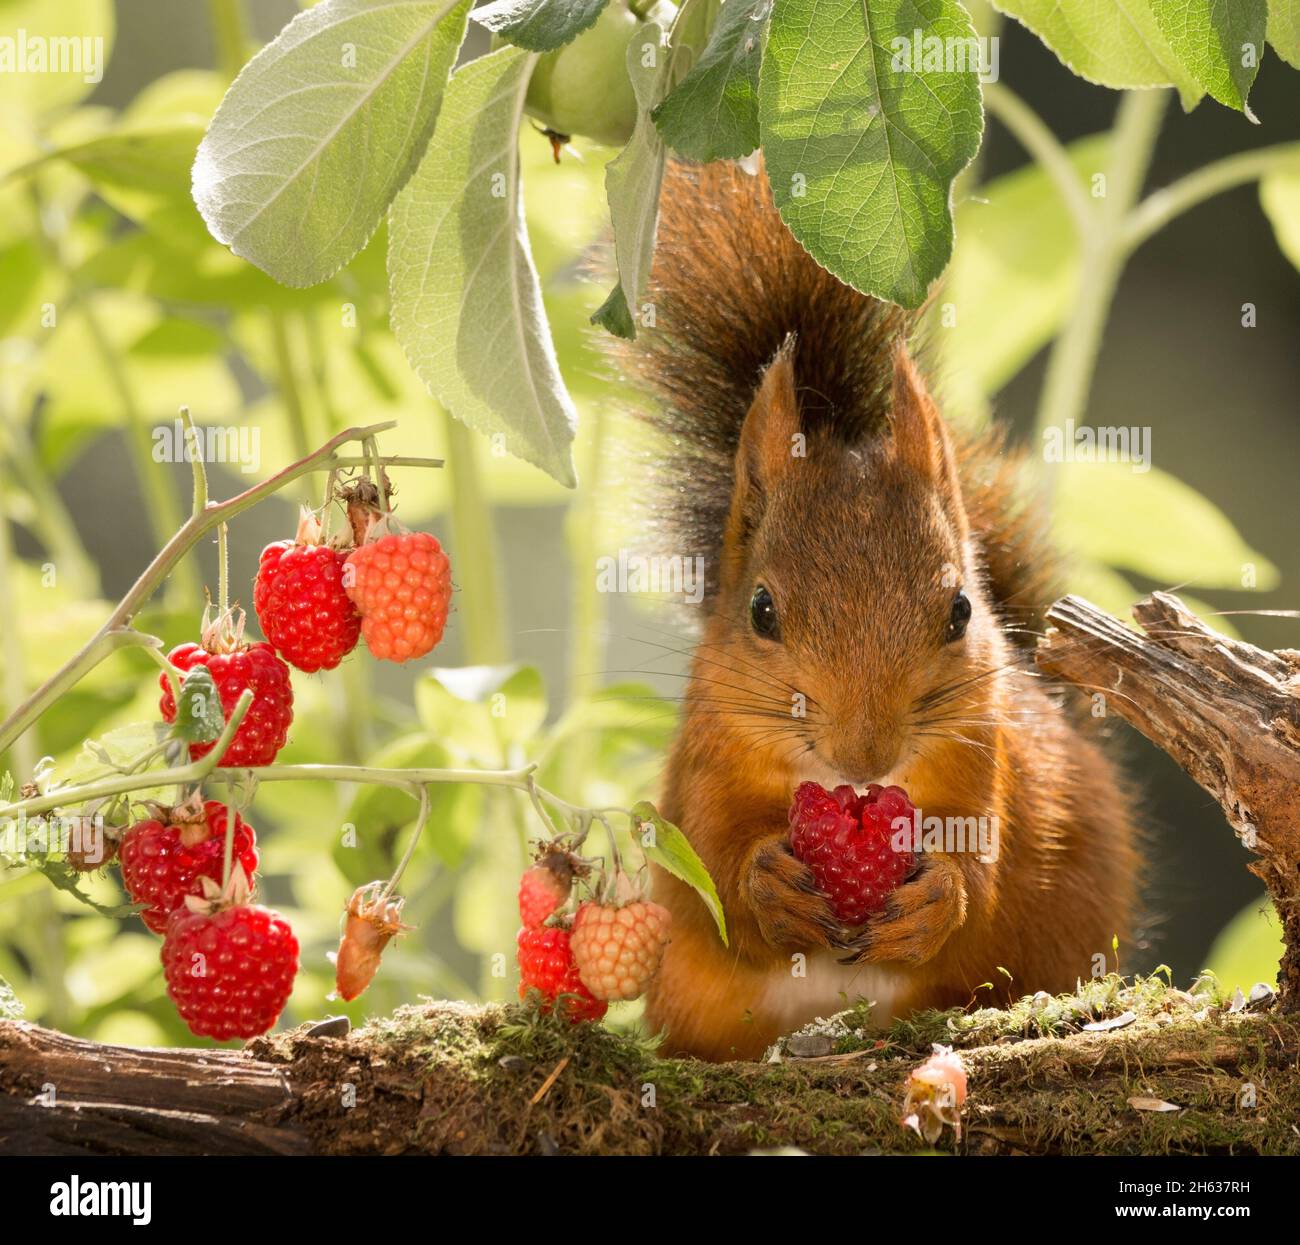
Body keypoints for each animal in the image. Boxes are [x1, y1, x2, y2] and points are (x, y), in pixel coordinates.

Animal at [612, 159, 1141, 1061]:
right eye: (761, 610)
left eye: (961, 609)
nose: (866, 758)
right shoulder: (703, 763)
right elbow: (709, 867)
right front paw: (765, 884)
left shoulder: (985, 760)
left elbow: (986, 872)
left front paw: (941, 899)